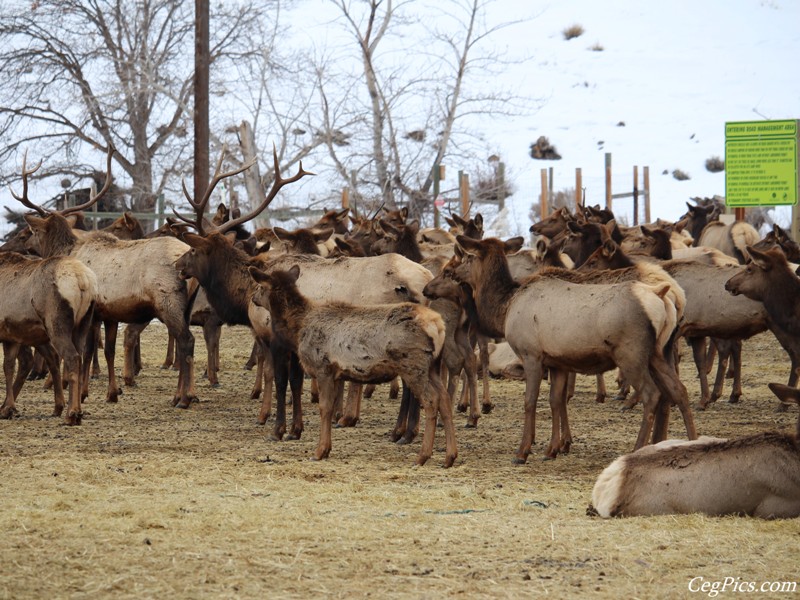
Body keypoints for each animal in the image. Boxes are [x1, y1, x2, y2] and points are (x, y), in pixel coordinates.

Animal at [247, 264, 460, 468]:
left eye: (260, 286)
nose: (253, 298)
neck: (297, 330)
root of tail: (438, 327)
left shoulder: (322, 367)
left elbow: (325, 408)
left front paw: (320, 451)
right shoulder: (334, 373)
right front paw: (326, 447)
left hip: (414, 365)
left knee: (431, 400)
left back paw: (422, 456)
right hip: (432, 367)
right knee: (444, 399)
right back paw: (449, 457)